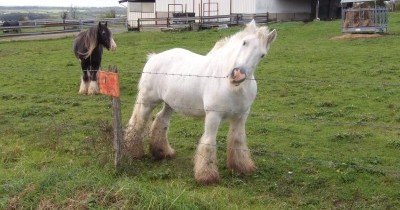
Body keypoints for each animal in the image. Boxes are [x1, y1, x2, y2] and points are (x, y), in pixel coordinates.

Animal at [124, 20, 276, 184]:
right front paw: (206, 175)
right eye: (244, 43)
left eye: (262, 55)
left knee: (161, 120)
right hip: (147, 102)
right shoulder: (213, 116)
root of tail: (154, 57)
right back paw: (133, 152)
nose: (237, 75)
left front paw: (242, 167)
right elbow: (208, 142)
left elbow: (238, 141)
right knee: (137, 123)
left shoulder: (241, 116)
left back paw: (162, 152)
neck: (231, 86)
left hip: (170, 104)